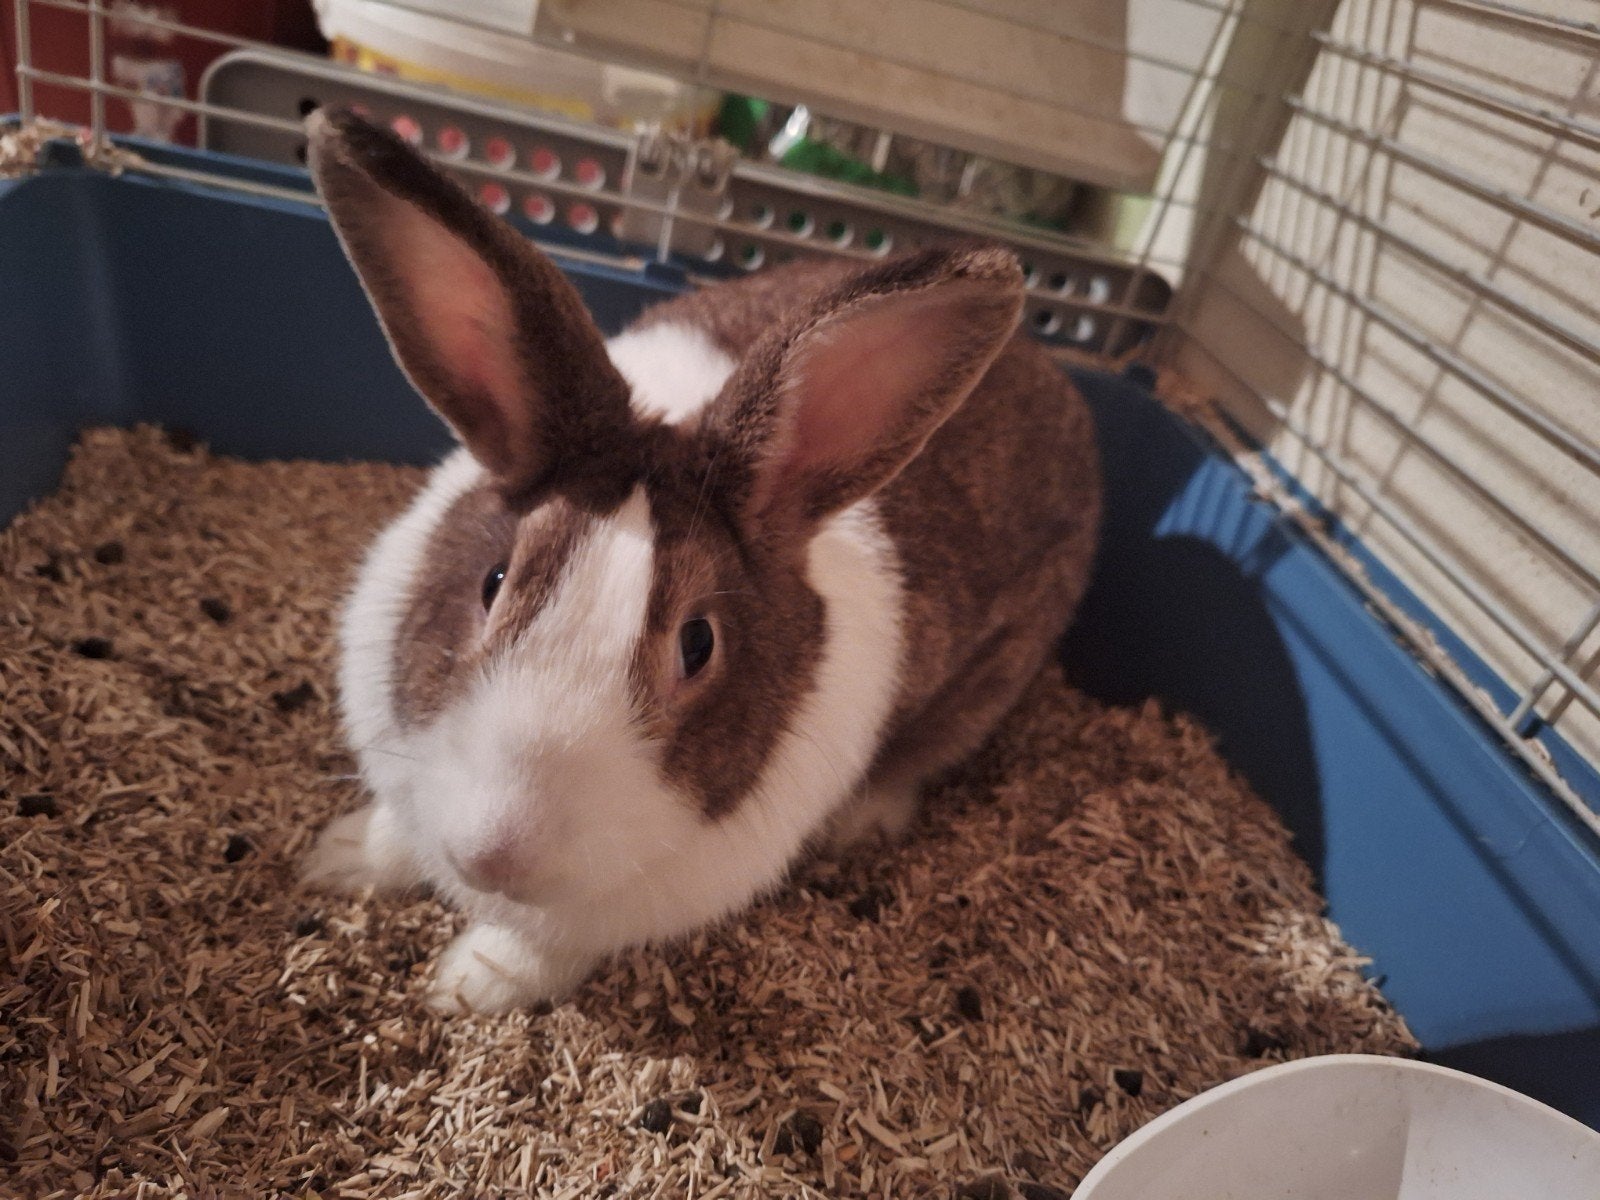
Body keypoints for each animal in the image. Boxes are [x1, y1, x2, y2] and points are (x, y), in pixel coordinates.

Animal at [298, 108, 1101, 1014]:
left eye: (698, 644)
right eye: (492, 582)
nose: (496, 853)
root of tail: (1058, 378)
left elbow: (543, 946)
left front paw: (466, 988)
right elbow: (399, 833)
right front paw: (336, 858)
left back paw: (863, 818)